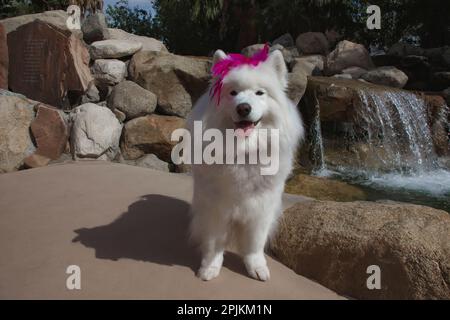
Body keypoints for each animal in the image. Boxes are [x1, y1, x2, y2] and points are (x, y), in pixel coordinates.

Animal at [185, 47, 304, 280]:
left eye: (259, 93)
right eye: (233, 93)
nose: (243, 108)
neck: (243, 150)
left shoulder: (261, 207)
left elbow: (254, 244)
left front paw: (256, 267)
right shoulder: (216, 206)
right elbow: (214, 243)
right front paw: (209, 268)